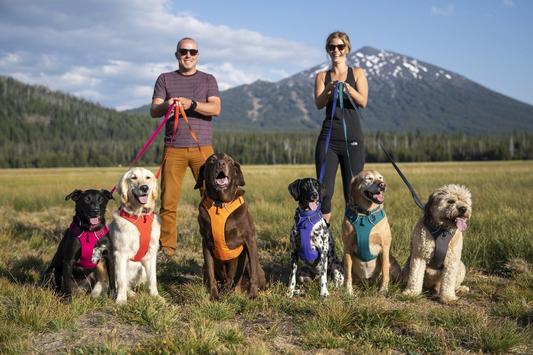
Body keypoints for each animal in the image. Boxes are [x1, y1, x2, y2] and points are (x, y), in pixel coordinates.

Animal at [106, 168, 160, 304]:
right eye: (133, 178)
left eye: (148, 177)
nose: (144, 188)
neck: (140, 216)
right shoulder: (120, 254)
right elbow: (121, 281)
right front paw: (121, 300)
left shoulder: (151, 254)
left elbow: (153, 279)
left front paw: (156, 297)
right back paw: (129, 294)